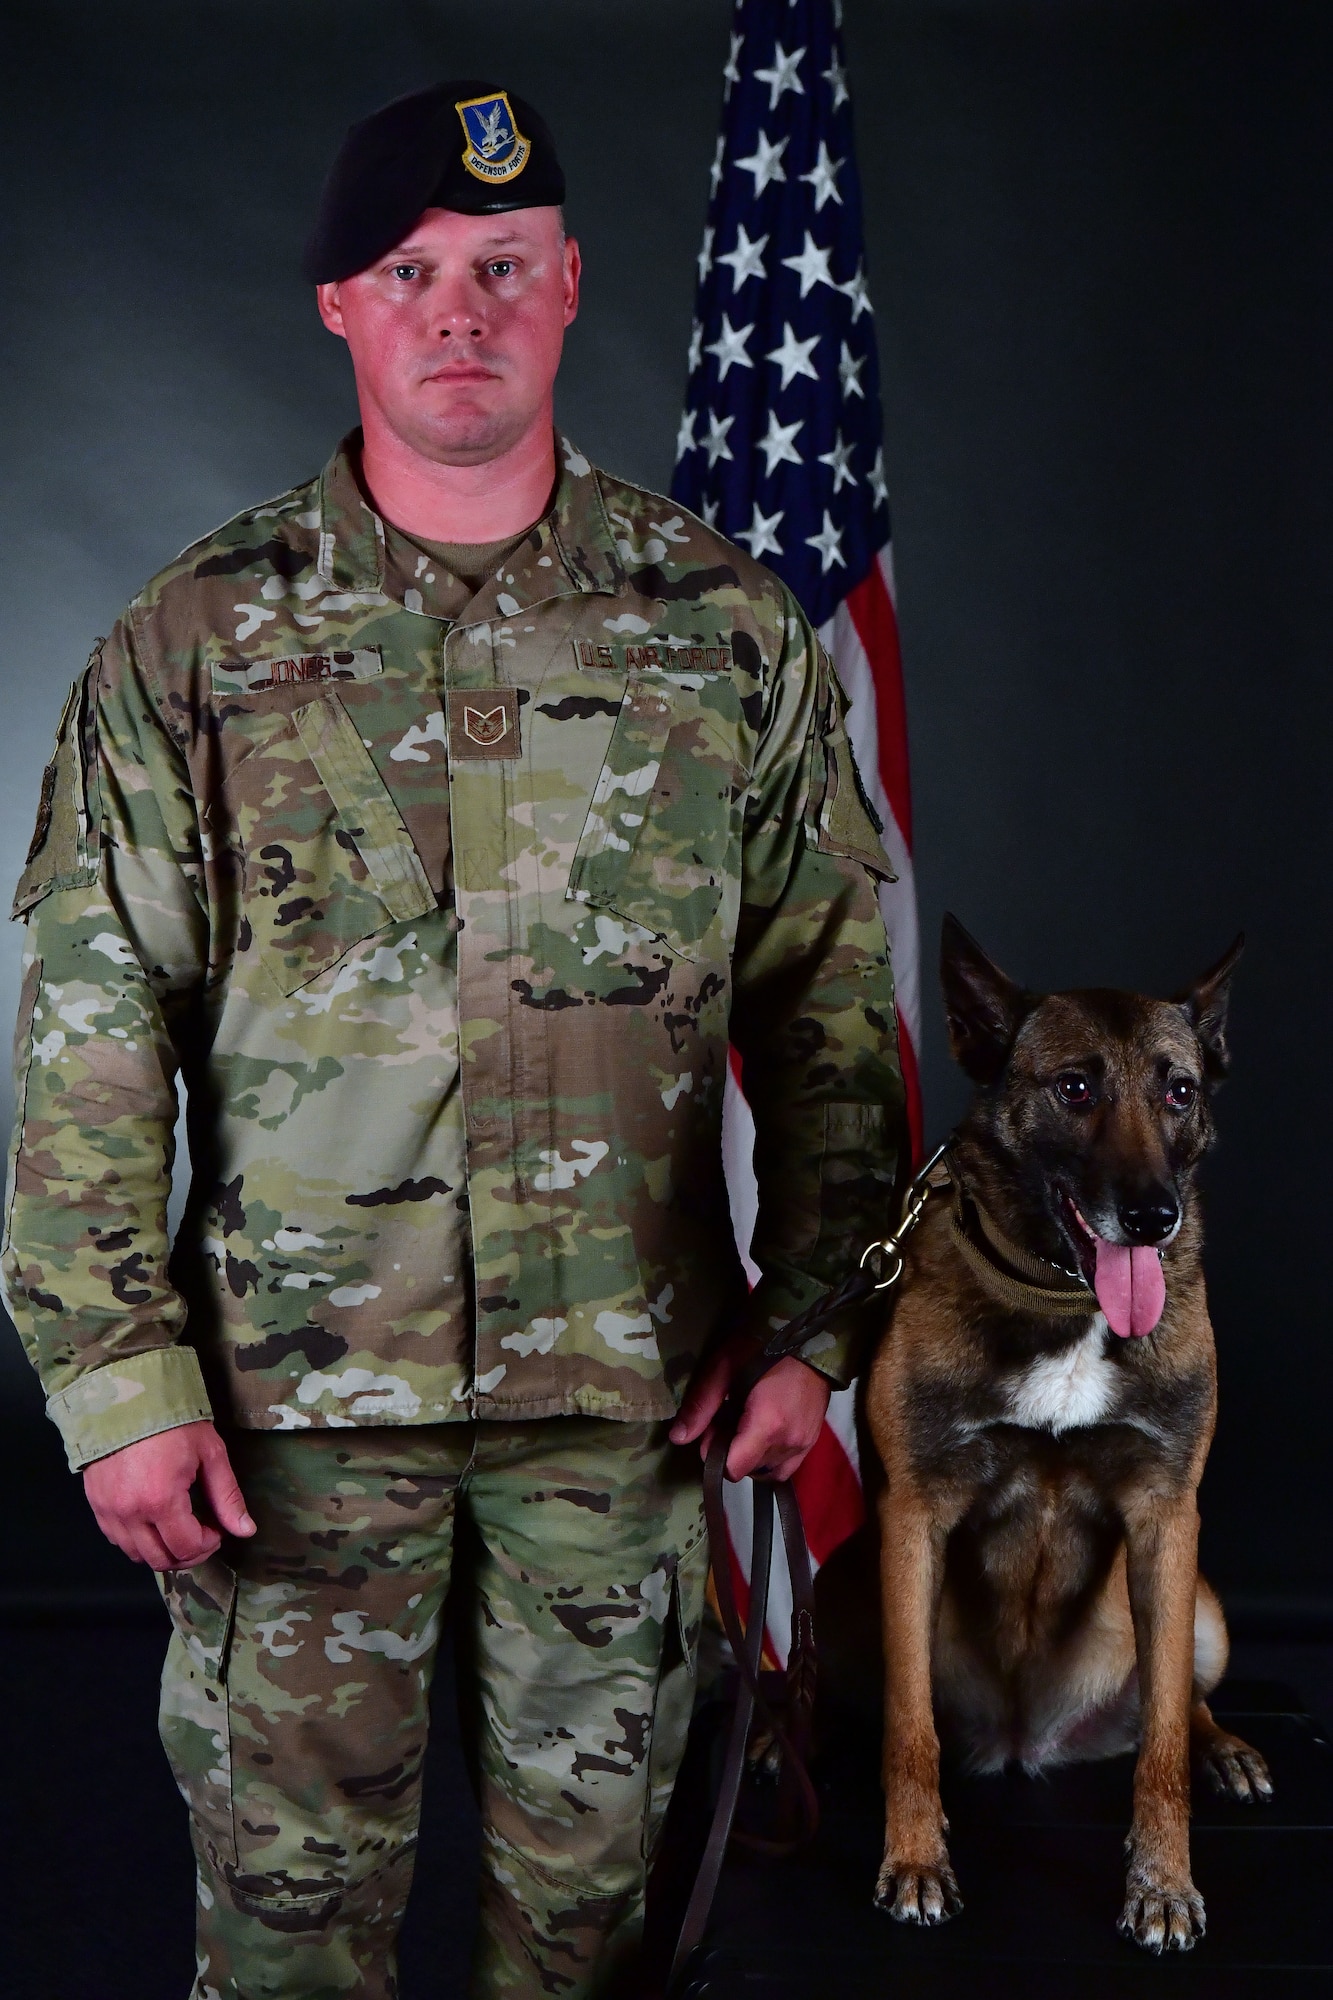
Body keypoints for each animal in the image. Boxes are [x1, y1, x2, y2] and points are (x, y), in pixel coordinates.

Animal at [860, 920, 1264, 1952]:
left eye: (1179, 1091)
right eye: (1074, 1087)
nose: (1152, 1215)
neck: (1065, 1300)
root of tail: (1022, 1740)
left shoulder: (1166, 1518)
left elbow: (1159, 1741)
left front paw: (1161, 1883)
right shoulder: (910, 1516)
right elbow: (906, 1726)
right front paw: (915, 1860)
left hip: (1202, 1604)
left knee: (1182, 1698)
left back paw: (1223, 1749)